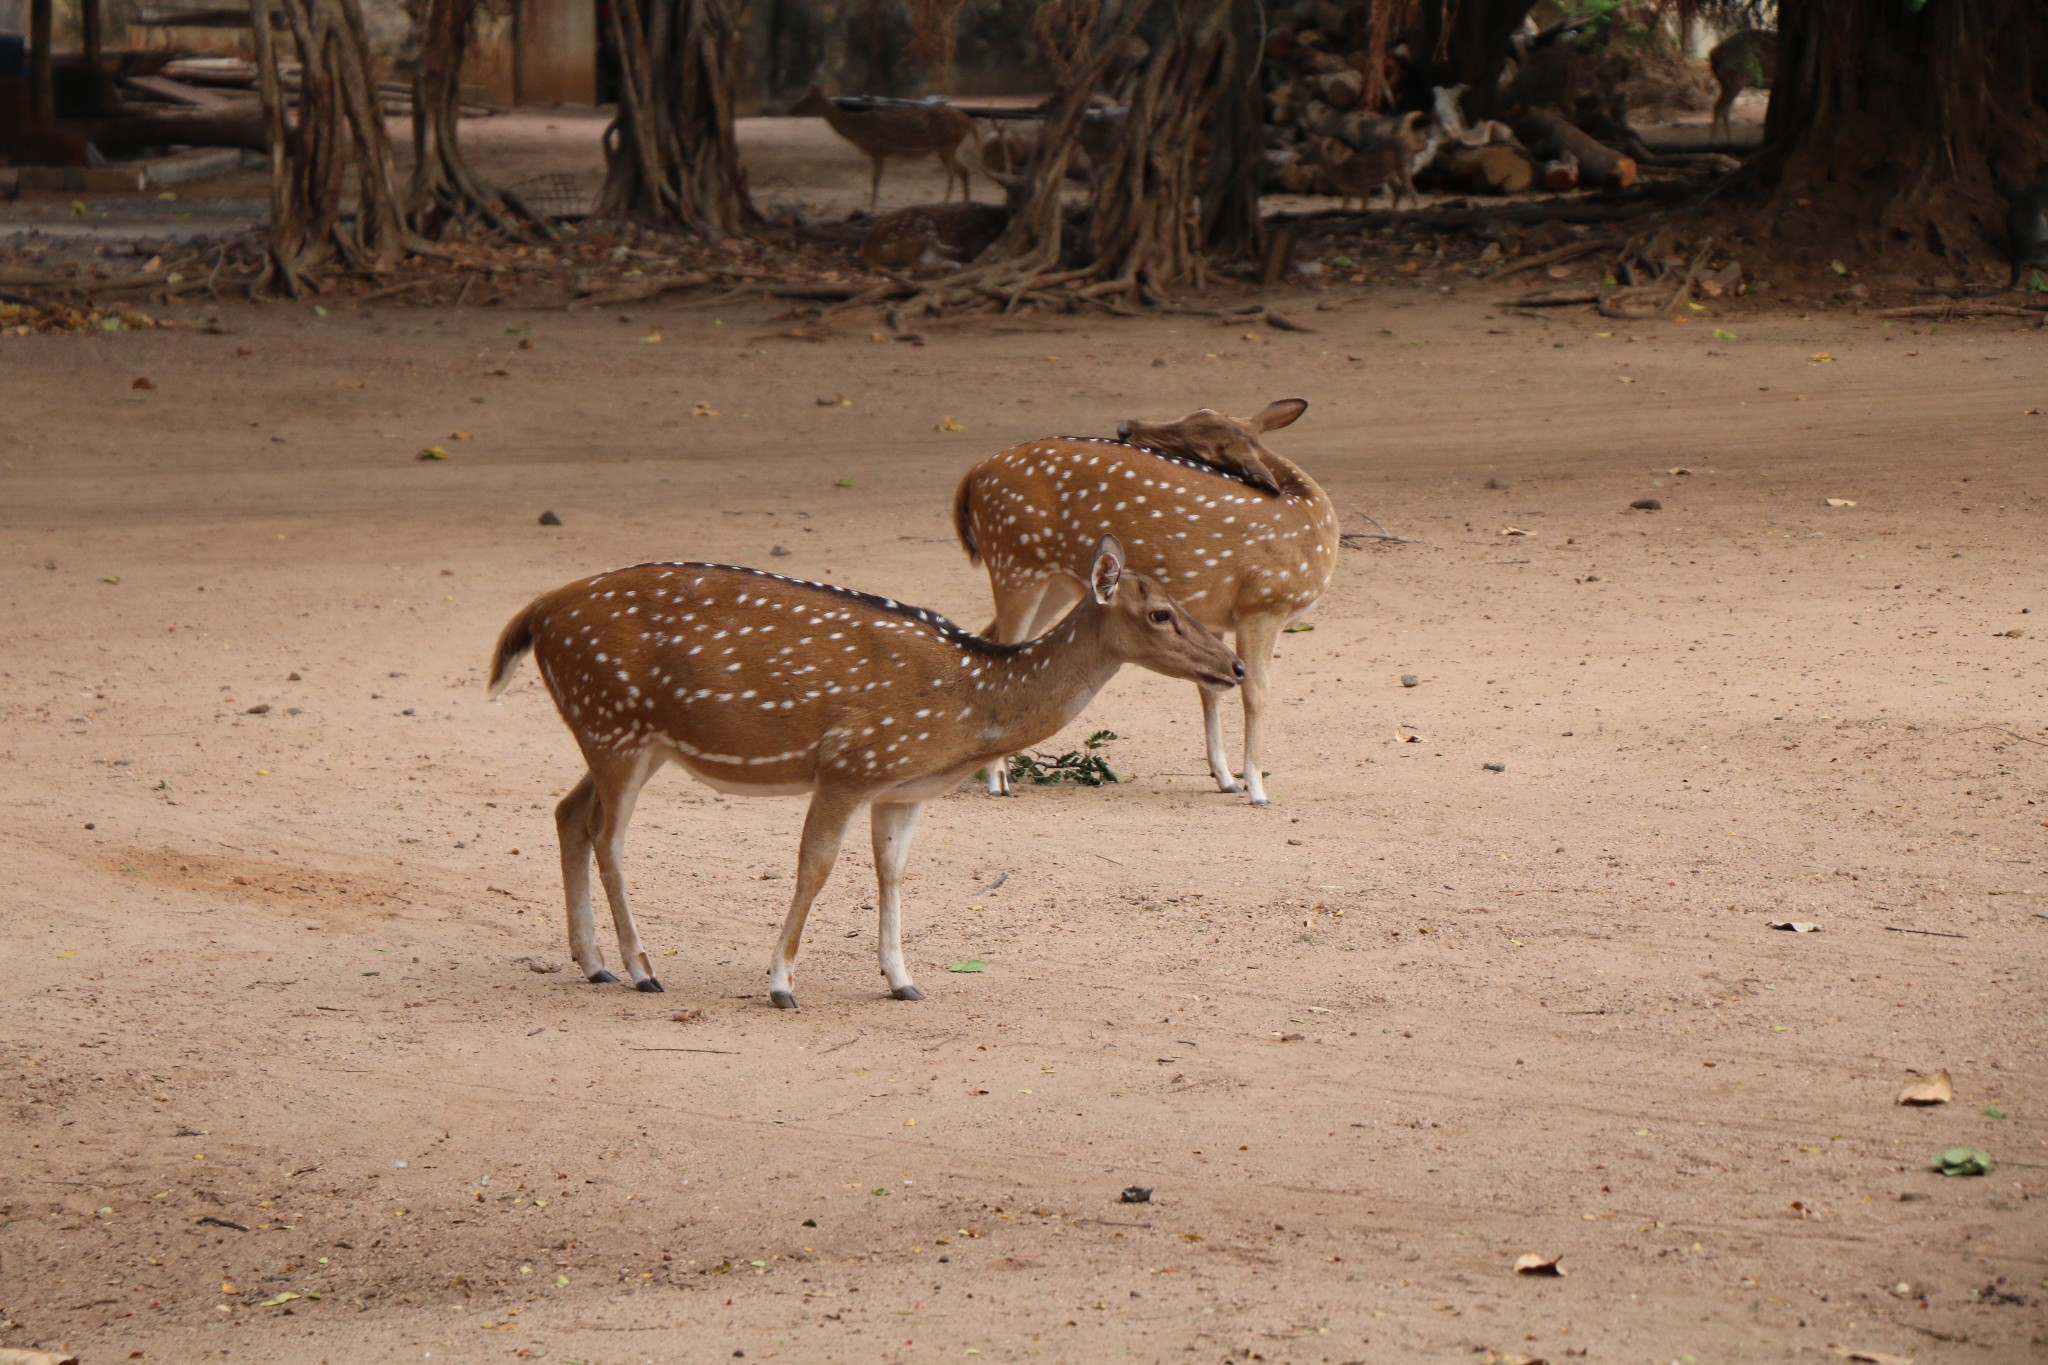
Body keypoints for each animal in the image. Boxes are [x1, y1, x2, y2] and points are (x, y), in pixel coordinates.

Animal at [487, 532, 1236, 1002]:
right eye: (1161, 612)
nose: (1234, 665)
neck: (969, 705)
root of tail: (535, 614)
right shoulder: (848, 763)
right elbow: (815, 867)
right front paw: (781, 984)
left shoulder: (899, 787)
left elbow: (893, 872)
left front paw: (902, 979)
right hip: (614, 723)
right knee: (607, 835)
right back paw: (641, 968)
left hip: (625, 737)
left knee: (567, 813)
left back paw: (594, 965)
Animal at [790, 85, 974, 210]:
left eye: (807, 98)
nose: (793, 109)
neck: (857, 130)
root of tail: (968, 123)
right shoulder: (880, 152)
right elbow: (876, 180)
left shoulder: (878, 150)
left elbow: (874, 180)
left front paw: (871, 209)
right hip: (950, 147)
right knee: (964, 170)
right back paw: (966, 202)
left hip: (947, 145)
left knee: (952, 173)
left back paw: (945, 203)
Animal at [946, 394, 1335, 806]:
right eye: (1195, 415)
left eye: (1202, 440)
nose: (1125, 427)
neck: (1313, 520)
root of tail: (973, 474)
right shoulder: (1263, 602)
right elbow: (1254, 693)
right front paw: (1257, 788)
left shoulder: (1216, 617)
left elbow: (1211, 689)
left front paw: (1226, 778)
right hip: (1015, 561)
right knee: (1001, 645)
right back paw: (998, 779)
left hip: (1052, 581)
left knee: (990, 639)